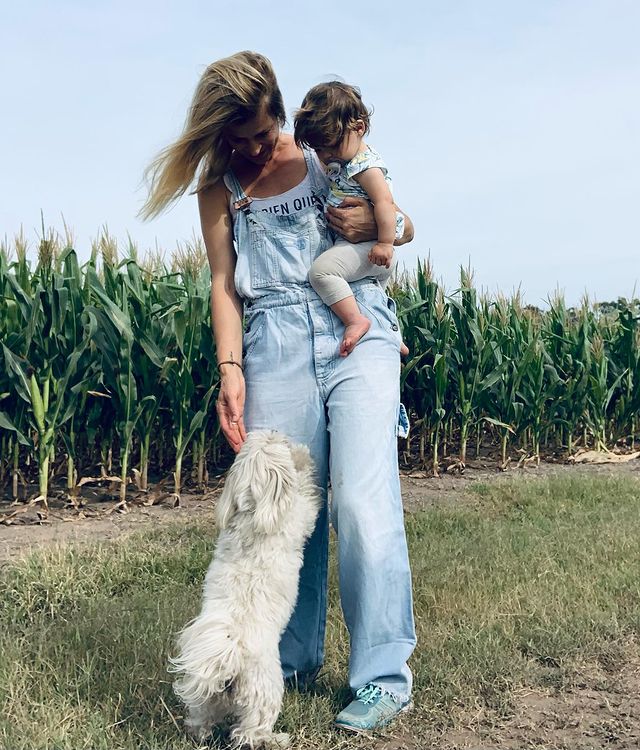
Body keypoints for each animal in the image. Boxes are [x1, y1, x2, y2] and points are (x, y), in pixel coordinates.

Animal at [168, 430, 321, 748]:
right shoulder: (298, 514)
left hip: (207, 698)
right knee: (249, 730)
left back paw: (199, 733)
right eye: (276, 442)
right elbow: (305, 493)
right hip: (264, 690)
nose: (275, 431)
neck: (252, 511)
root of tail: (230, 655)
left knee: (202, 716)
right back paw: (273, 738)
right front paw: (302, 458)